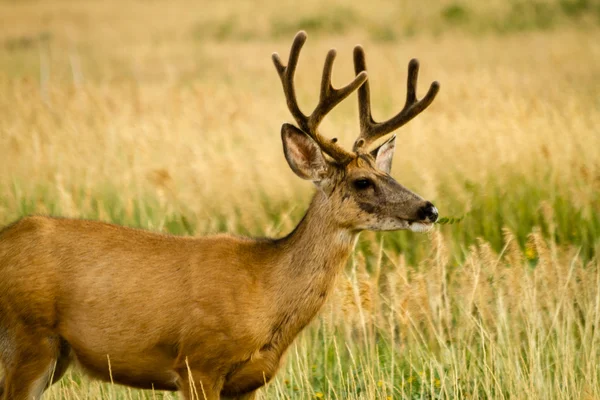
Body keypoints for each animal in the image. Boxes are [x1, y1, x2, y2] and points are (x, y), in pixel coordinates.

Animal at [0, 32, 440, 400]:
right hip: (28, 341)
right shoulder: (198, 364)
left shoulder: (249, 382)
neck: (266, 293)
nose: (429, 209)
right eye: (363, 182)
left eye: (390, 173)